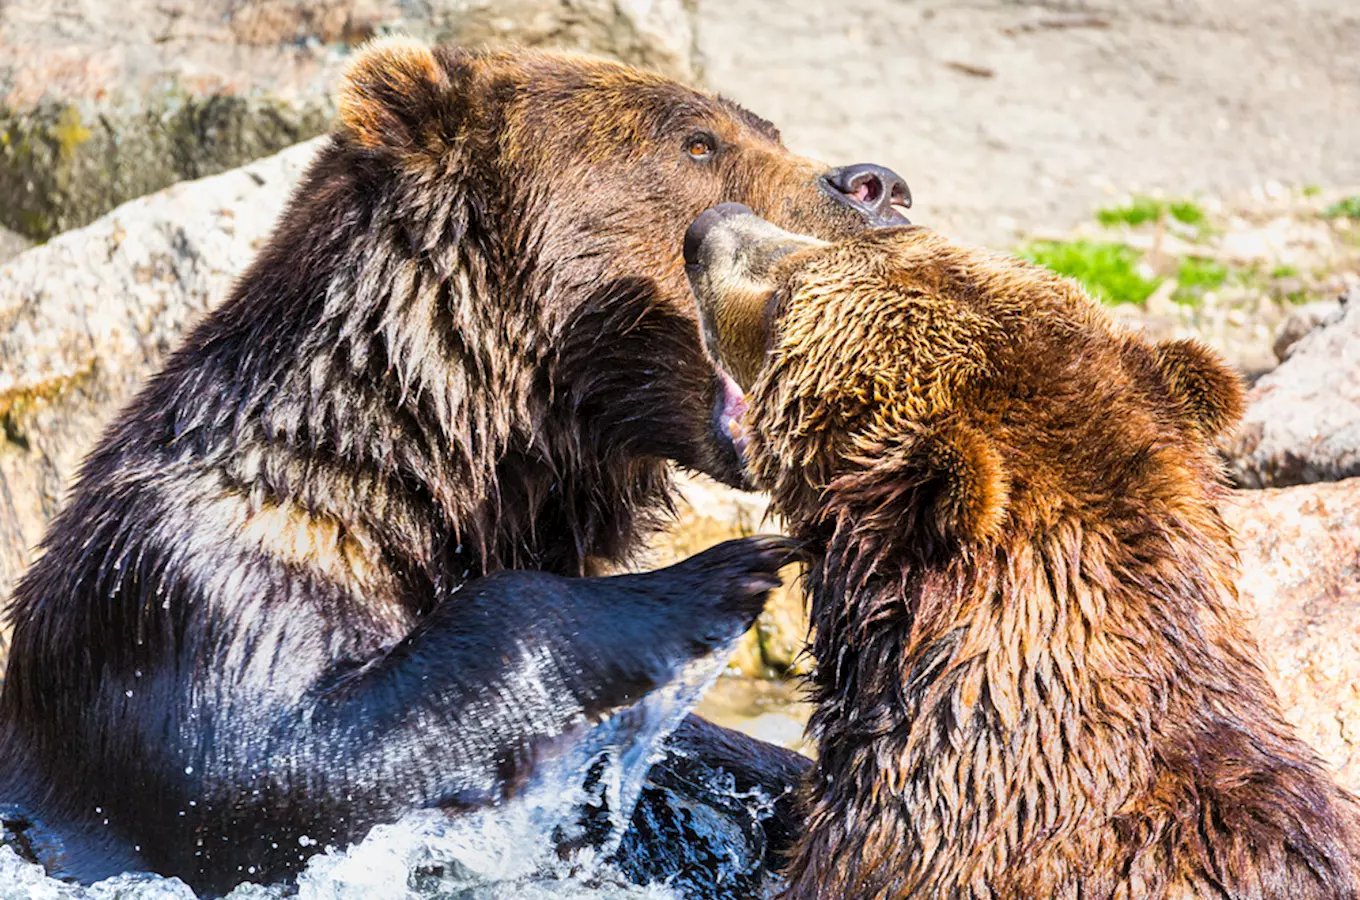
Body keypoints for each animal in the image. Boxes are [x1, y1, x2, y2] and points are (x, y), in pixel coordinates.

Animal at [2, 37, 913, 897]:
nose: (879, 187)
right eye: (697, 141)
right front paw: (714, 574)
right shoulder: (190, 592)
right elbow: (274, 774)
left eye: (768, 129)